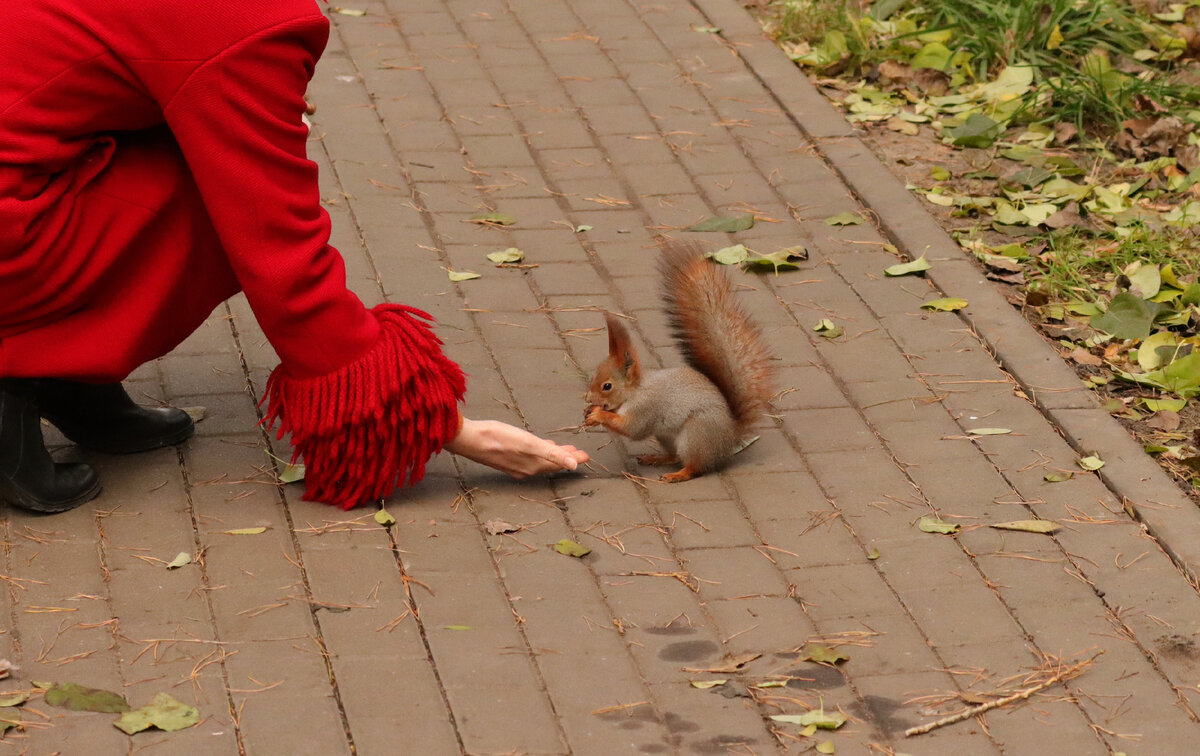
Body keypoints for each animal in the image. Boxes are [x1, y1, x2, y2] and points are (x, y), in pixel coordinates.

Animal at [583, 240, 772, 482]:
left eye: (607, 386)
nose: (588, 399)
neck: (635, 391)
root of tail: (729, 437)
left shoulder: (647, 408)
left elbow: (632, 428)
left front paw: (599, 414)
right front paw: (590, 414)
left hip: (695, 436)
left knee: (695, 466)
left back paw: (677, 475)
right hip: (666, 436)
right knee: (674, 456)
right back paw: (657, 458)